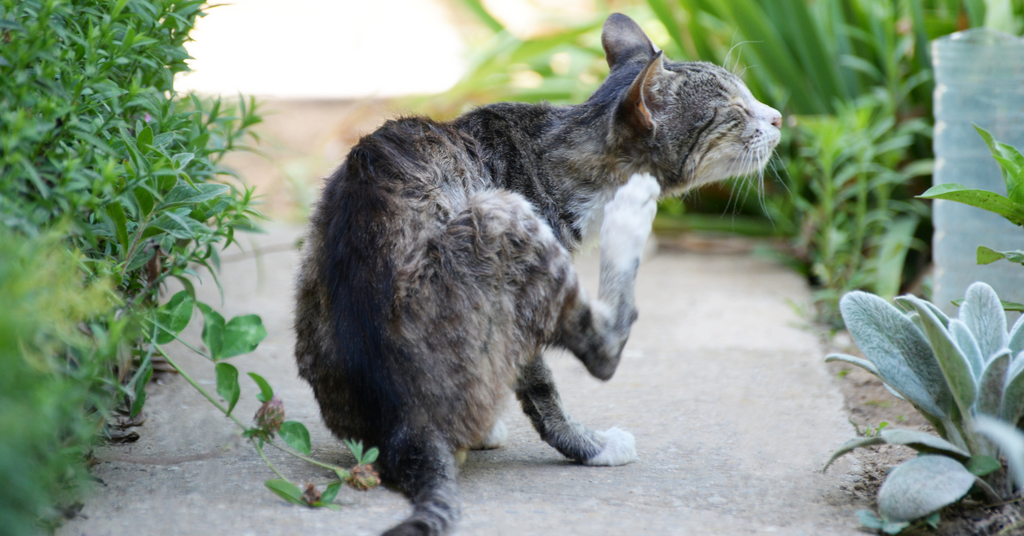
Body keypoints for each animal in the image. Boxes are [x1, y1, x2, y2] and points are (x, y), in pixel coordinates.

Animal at [296, 12, 782, 536]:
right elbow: (542, 388)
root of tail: (405, 430)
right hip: (505, 216)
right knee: (602, 350)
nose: (778, 116)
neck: (564, 154)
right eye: (734, 108)